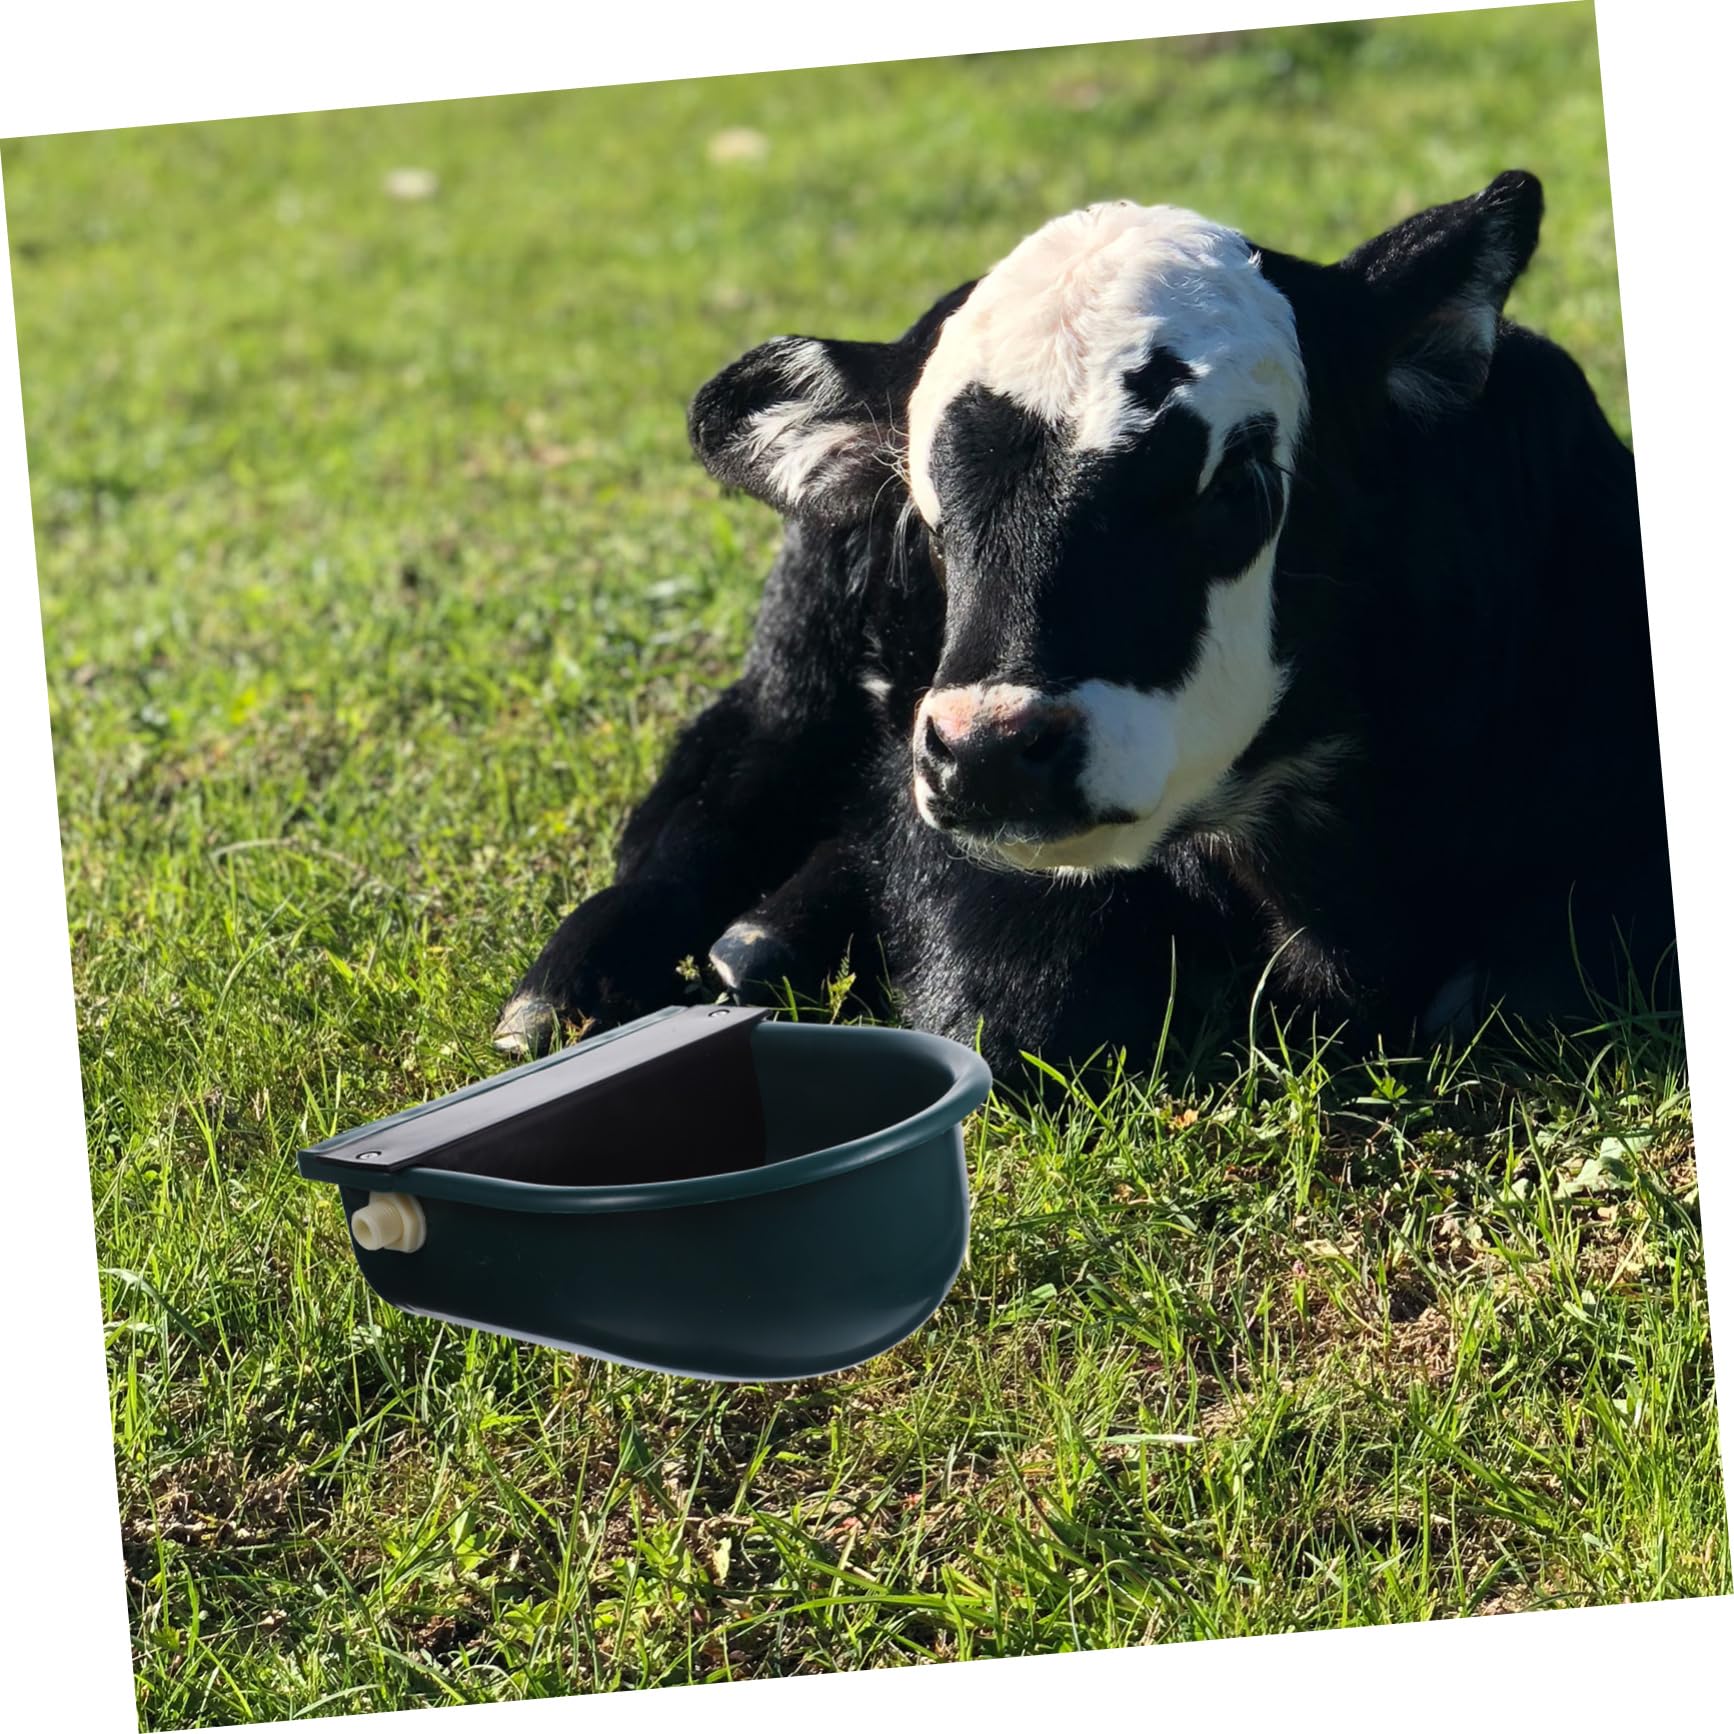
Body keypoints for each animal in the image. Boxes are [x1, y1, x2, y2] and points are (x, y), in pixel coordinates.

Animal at [493, 171, 1675, 1078]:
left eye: (1237, 484)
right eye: (927, 516)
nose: (991, 752)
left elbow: (1528, 983)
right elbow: (1018, 1012)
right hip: (798, 674)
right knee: (704, 802)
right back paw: (588, 985)